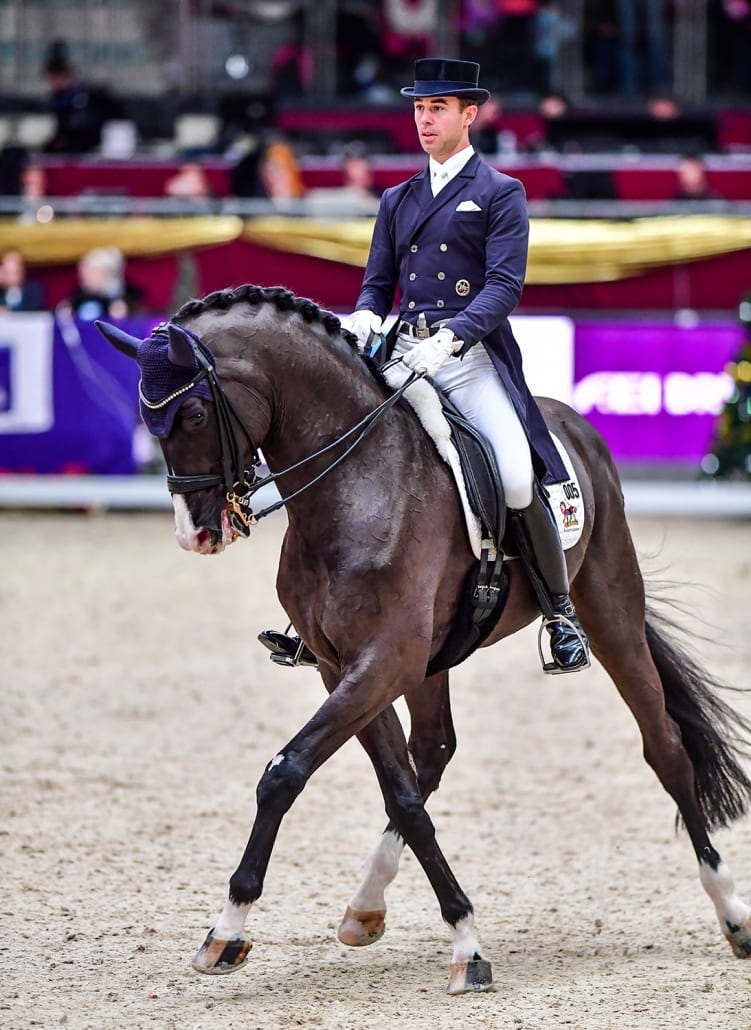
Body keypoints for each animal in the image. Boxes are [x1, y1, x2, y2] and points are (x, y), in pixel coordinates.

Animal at [96, 283, 751, 995]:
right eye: (149, 422)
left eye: (191, 413)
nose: (196, 534)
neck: (355, 483)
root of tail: (570, 424)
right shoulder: (344, 666)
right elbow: (403, 795)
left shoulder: (384, 659)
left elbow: (285, 772)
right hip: (437, 658)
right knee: (433, 750)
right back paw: (364, 905)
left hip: (610, 607)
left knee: (667, 748)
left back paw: (732, 913)